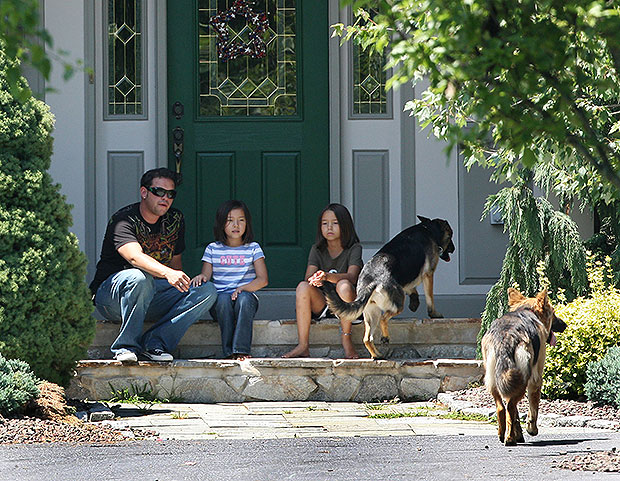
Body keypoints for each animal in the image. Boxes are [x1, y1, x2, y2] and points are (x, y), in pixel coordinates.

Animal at [314, 216, 456, 358]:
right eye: (451, 235)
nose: (454, 249)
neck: (429, 229)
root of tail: (370, 282)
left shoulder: (405, 279)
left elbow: (411, 288)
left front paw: (414, 303)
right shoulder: (428, 274)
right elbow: (430, 297)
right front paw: (434, 314)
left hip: (372, 312)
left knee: (367, 338)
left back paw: (377, 355)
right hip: (396, 305)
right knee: (384, 319)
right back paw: (385, 338)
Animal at [482, 286, 568, 444]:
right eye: (553, 313)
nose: (565, 325)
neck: (527, 310)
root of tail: (505, 339)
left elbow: (515, 415)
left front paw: (519, 433)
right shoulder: (537, 378)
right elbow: (533, 408)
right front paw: (531, 429)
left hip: (494, 380)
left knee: (502, 408)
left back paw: (503, 434)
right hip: (522, 379)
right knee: (510, 406)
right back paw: (510, 439)